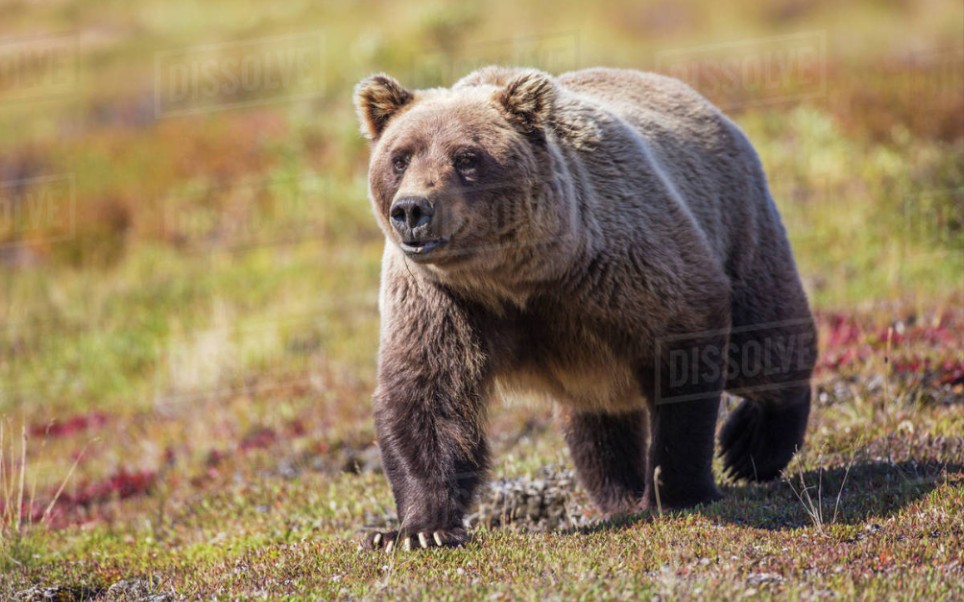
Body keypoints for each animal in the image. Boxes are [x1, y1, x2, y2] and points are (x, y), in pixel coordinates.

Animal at [352, 64, 812, 548]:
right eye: (400, 157)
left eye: (466, 158)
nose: (412, 209)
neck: (517, 277)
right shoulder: (443, 300)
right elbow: (426, 396)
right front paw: (421, 529)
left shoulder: (628, 267)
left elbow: (684, 359)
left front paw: (679, 490)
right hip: (591, 366)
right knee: (596, 423)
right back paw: (620, 494)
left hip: (738, 224)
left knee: (763, 339)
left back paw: (753, 445)